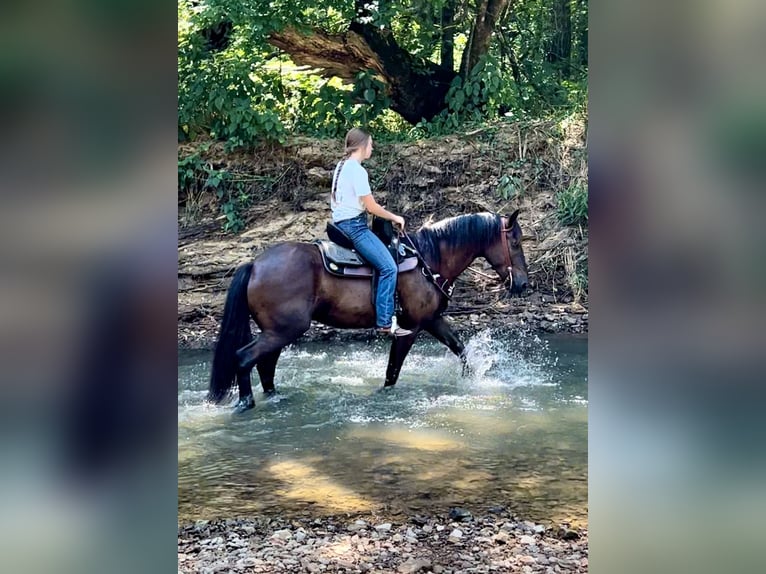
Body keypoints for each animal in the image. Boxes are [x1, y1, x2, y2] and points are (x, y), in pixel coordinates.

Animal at [210, 212, 536, 414]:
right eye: (516, 242)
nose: (523, 283)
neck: (428, 259)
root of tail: (255, 264)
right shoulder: (410, 328)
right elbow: (392, 372)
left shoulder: (431, 320)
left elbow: (460, 348)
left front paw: (472, 380)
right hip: (283, 330)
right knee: (244, 358)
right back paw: (246, 403)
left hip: (278, 331)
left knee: (265, 366)